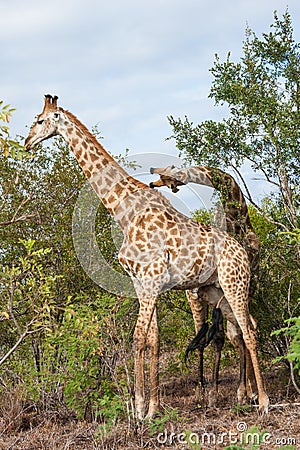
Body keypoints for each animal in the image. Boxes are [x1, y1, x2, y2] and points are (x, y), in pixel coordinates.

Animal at [150, 164, 260, 404]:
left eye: (171, 175)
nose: (153, 182)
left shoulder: (245, 290)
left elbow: (238, 335)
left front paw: (247, 391)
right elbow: (225, 336)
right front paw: (234, 391)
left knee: (226, 335)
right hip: (197, 299)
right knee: (207, 335)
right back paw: (205, 391)